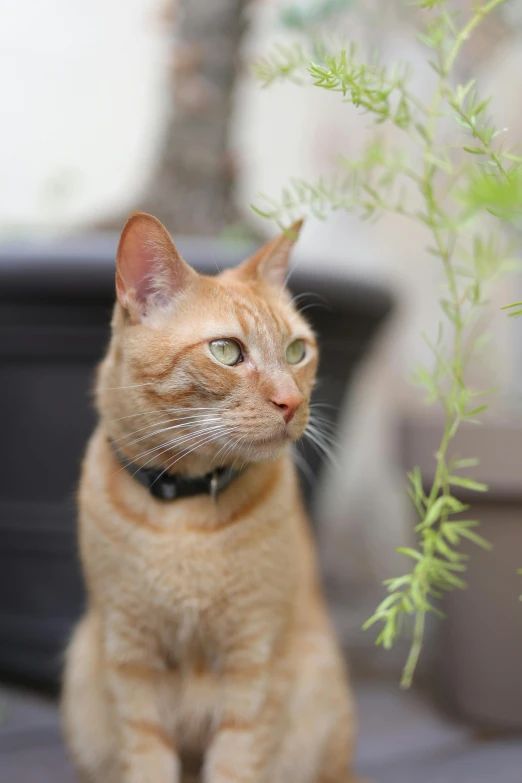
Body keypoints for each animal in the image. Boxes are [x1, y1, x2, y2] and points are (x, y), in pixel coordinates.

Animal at [60, 211, 358, 780]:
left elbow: (236, 761)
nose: (291, 403)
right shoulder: (130, 656)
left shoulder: (254, 659)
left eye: (297, 351)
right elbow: (147, 758)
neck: (186, 509)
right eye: (226, 351)